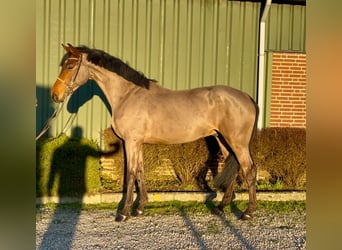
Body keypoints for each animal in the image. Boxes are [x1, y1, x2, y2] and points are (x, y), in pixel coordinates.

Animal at [50, 44, 258, 222]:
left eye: (70, 66)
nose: (55, 95)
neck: (128, 95)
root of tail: (246, 97)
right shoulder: (138, 143)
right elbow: (140, 171)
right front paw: (140, 208)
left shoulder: (131, 141)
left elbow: (130, 173)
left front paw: (124, 213)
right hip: (223, 140)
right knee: (235, 168)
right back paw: (221, 207)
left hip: (237, 142)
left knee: (249, 169)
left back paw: (248, 212)